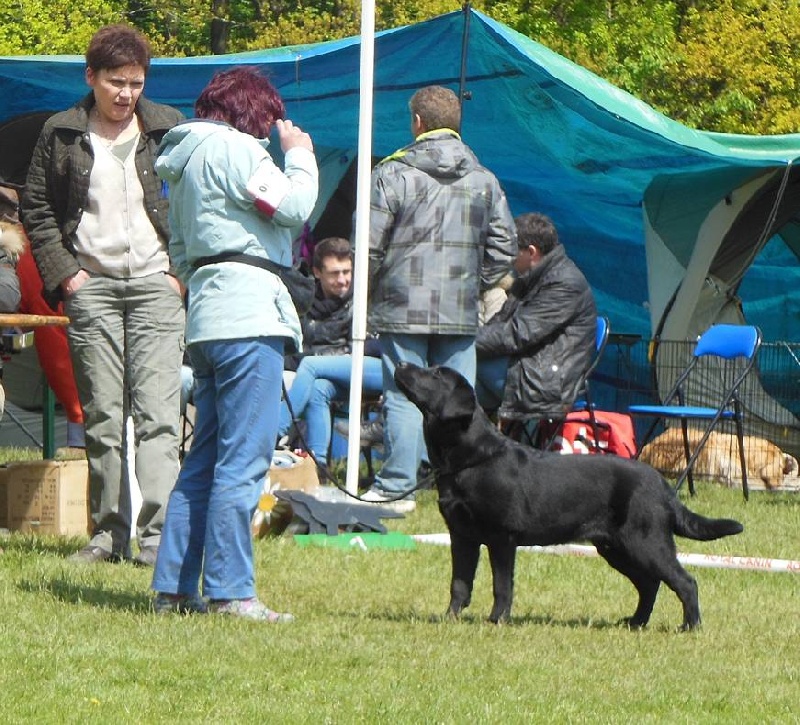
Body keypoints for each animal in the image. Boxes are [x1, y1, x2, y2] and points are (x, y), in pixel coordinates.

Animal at [396, 362, 748, 628]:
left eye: (436, 374)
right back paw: (635, 622)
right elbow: (459, 583)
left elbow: (501, 586)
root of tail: (662, 484)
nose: (400, 364)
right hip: (616, 547)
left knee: (684, 581)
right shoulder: (461, 536)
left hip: (647, 542)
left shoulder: (502, 538)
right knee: (649, 584)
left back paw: (689, 626)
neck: (472, 459)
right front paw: (450, 619)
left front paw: (496, 621)